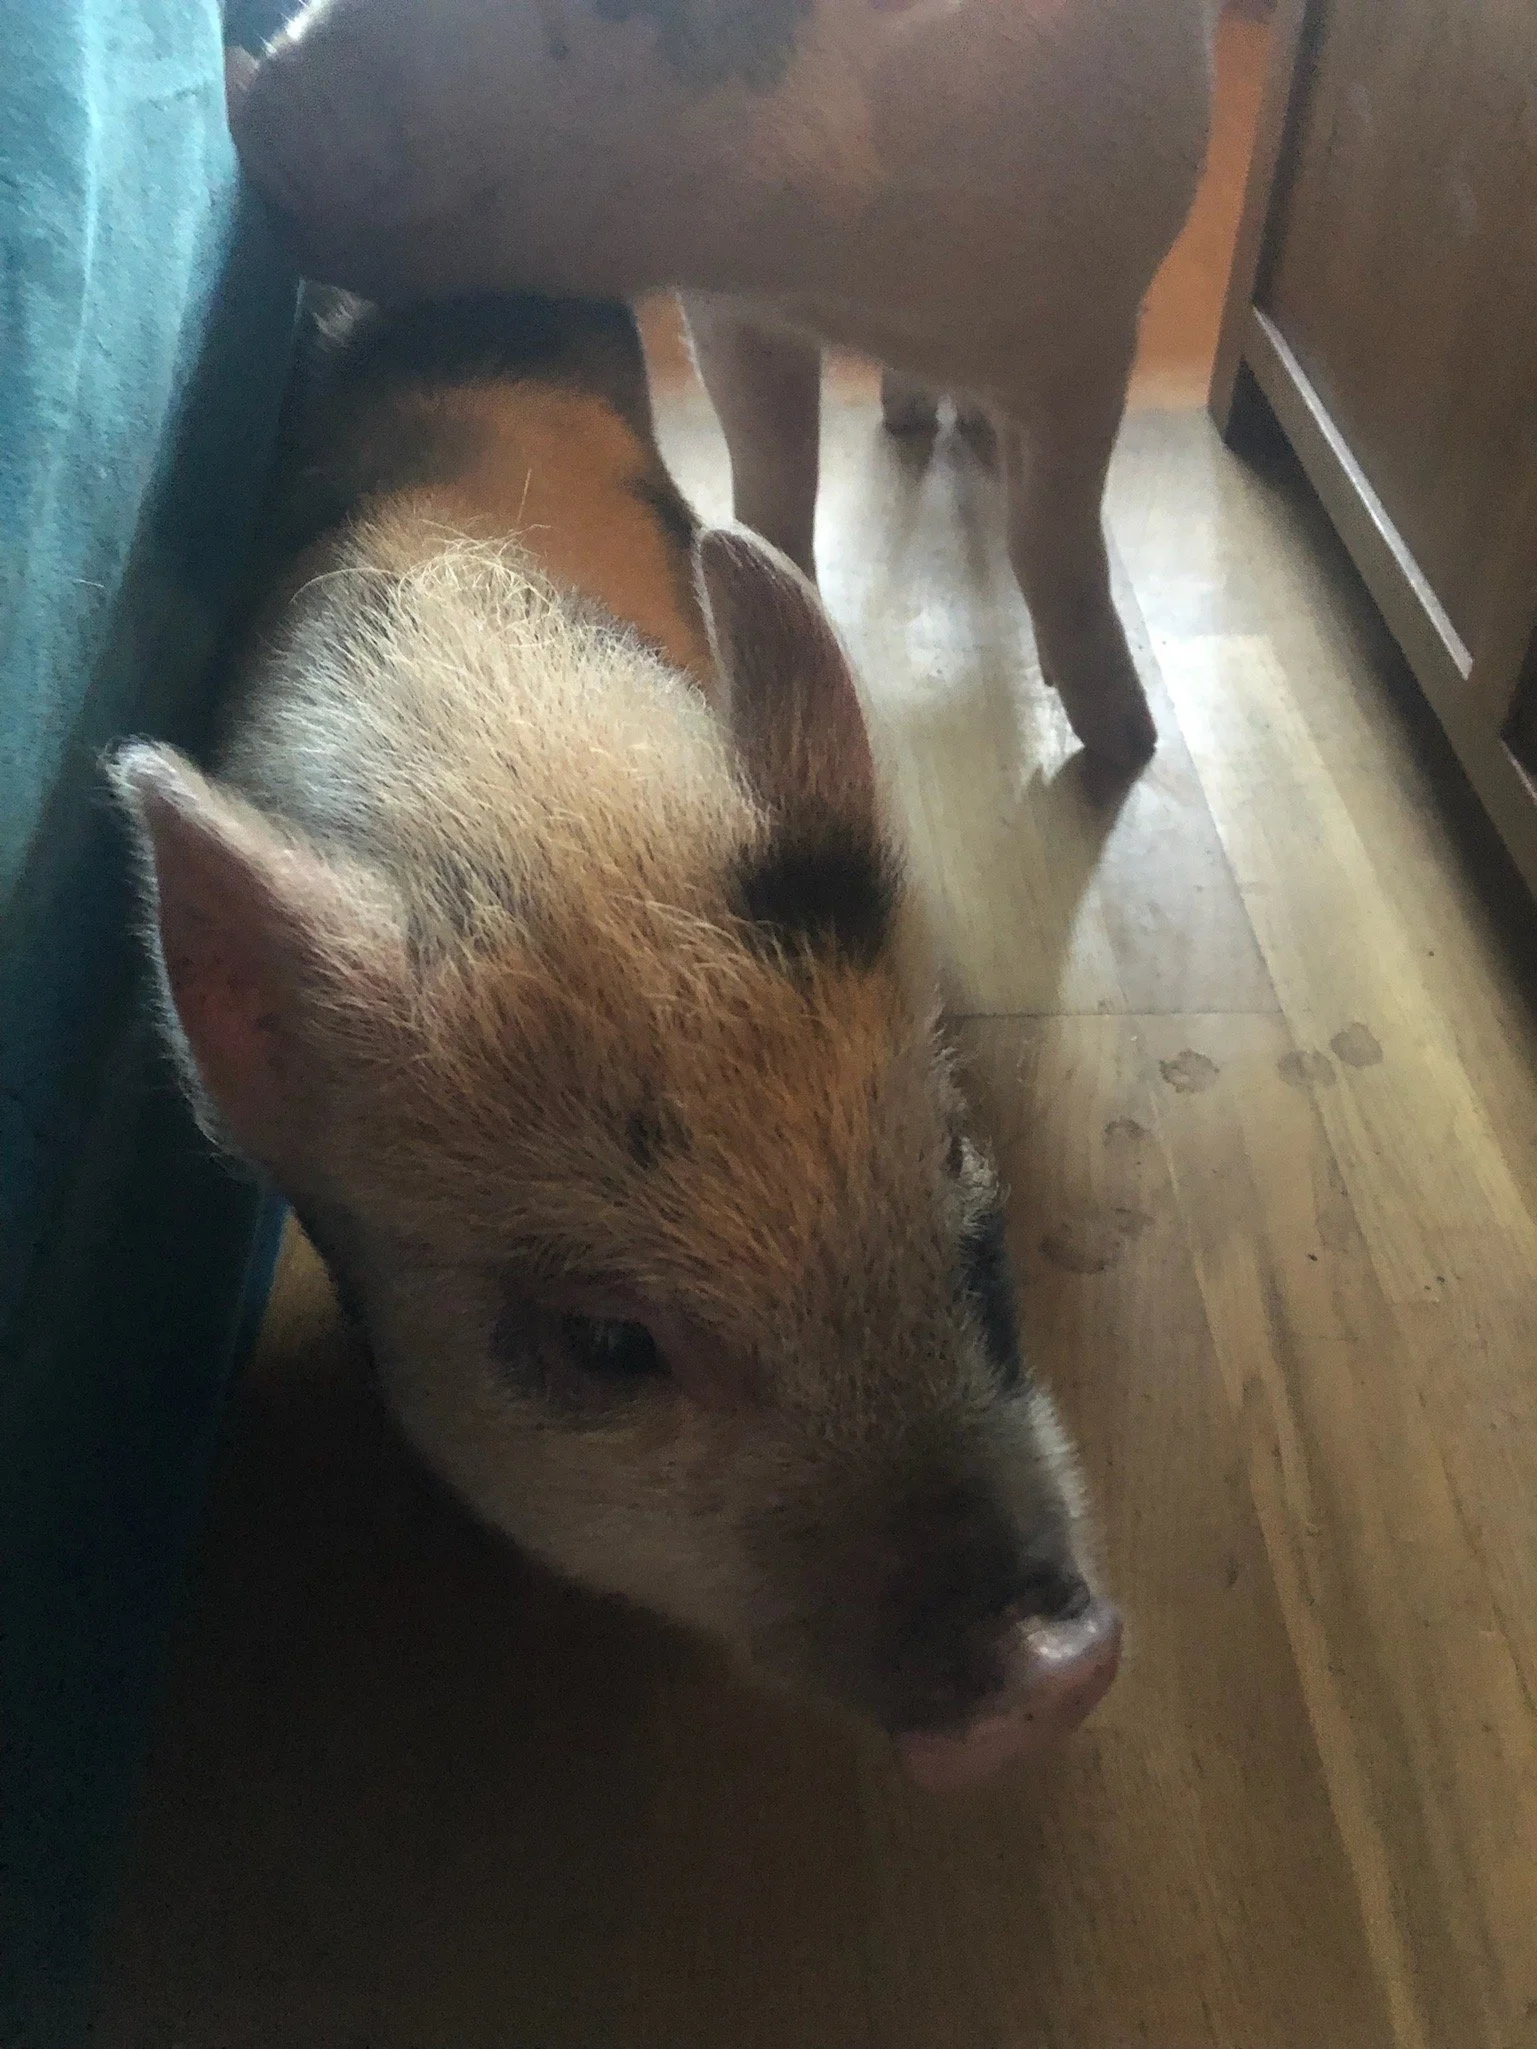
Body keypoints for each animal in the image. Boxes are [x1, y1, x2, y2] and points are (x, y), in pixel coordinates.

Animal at [225, 0, 1215, 769]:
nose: (246, 103)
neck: (848, 279)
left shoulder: (1089, 327)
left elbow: (1053, 544)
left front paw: (1126, 749)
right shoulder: (733, 313)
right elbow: (772, 480)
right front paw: (769, 585)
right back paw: (903, 419)